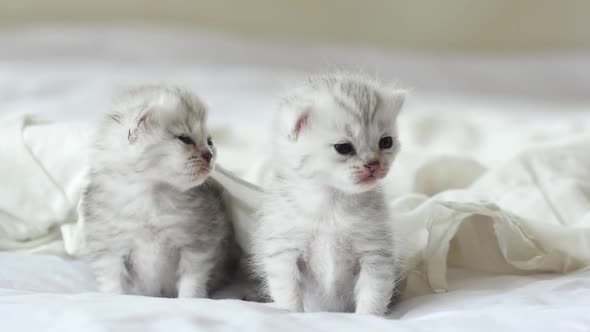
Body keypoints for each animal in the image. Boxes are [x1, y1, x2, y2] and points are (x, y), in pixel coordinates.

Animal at [80, 85, 239, 298]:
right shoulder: (109, 249)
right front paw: (114, 299)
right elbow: (113, 283)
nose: (210, 155)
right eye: (184, 139)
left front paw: (190, 299)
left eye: (209, 141)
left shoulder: (197, 244)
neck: (150, 193)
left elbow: (192, 280)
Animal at [252, 72, 410, 314]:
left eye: (386, 142)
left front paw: (369, 318)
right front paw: (290, 315)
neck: (331, 201)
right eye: (343, 148)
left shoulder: (375, 253)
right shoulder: (284, 251)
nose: (374, 164)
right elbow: (288, 294)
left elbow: (373, 293)